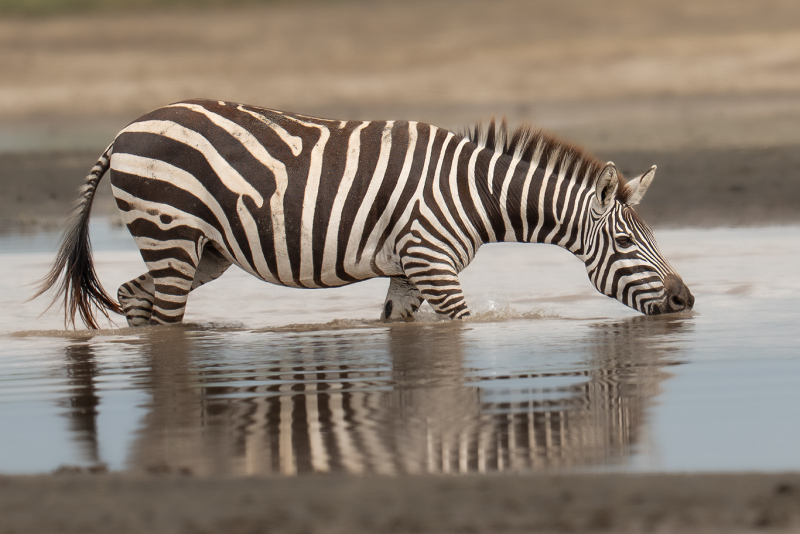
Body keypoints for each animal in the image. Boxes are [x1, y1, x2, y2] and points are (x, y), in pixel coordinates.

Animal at [36, 99, 693, 329]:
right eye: (628, 245)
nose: (687, 300)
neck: (474, 194)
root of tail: (125, 129)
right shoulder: (433, 263)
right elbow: (463, 326)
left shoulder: (409, 268)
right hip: (170, 232)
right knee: (164, 316)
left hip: (204, 251)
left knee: (134, 296)